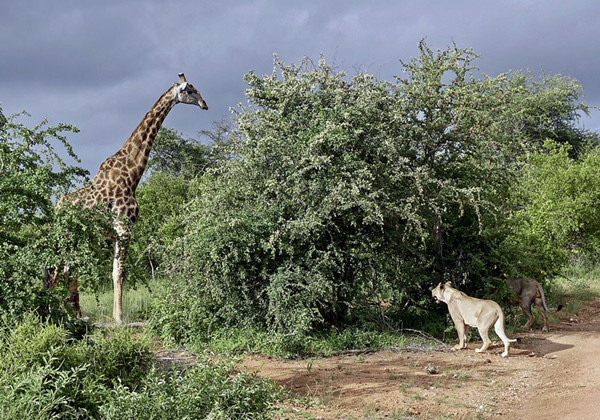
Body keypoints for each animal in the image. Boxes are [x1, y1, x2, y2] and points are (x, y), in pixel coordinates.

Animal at [49, 74, 209, 324]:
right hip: (66, 236)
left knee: (66, 270)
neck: (132, 173)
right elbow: (119, 272)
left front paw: (116, 315)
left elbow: (115, 271)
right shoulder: (124, 226)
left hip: (75, 237)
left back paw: (75, 315)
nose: (204, 104)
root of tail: (57, 208)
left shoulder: (117, 230)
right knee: (57, 269)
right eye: (190, 90)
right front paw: (119, 318)